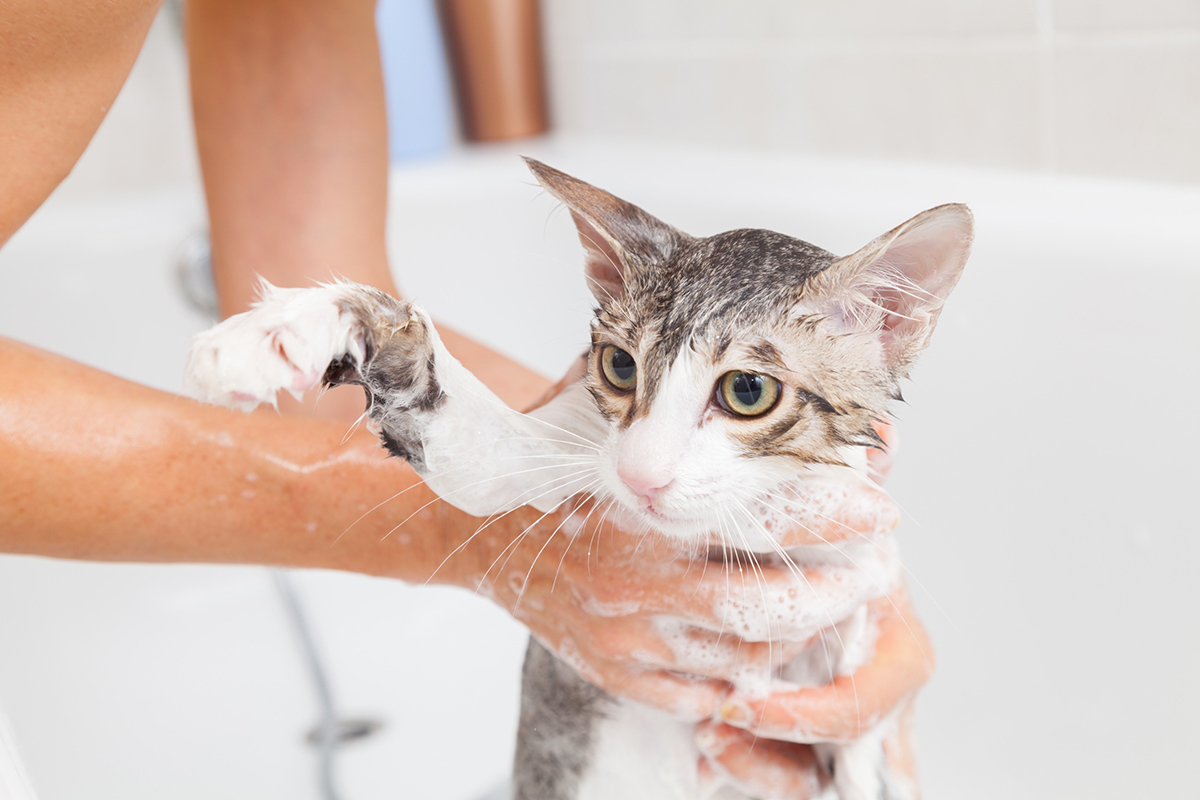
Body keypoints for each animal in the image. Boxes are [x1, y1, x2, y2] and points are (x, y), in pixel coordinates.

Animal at [187, 158, 974, 800]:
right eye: (620, 367)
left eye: (748, 391)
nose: (639, 476)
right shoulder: (533, 449)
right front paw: (288, 327)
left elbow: (862, 738)